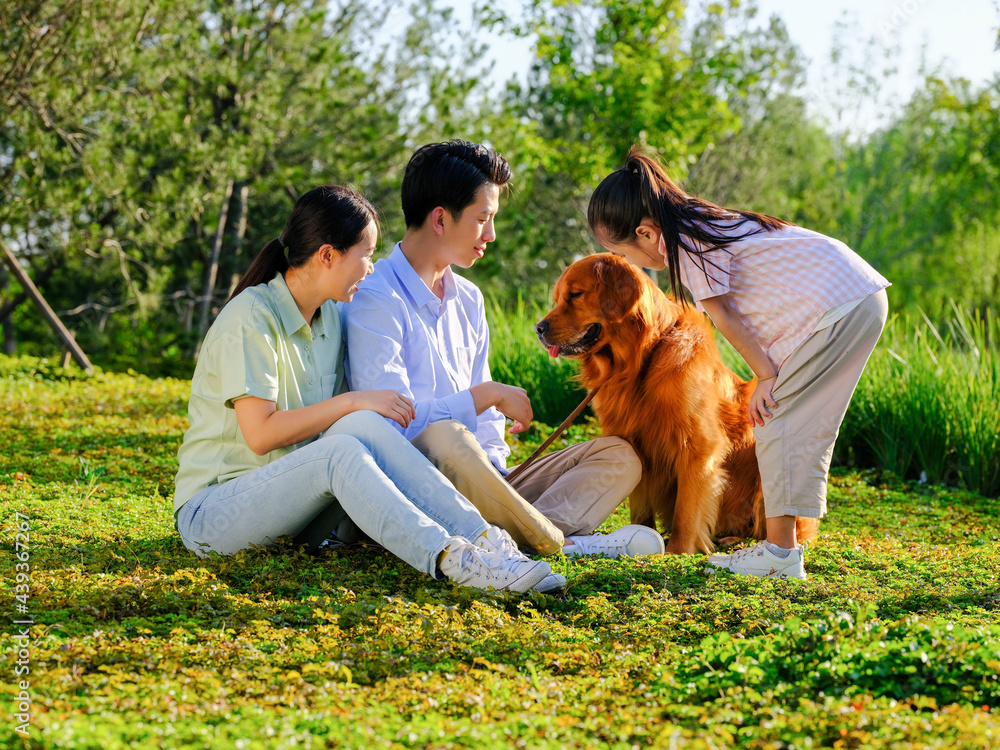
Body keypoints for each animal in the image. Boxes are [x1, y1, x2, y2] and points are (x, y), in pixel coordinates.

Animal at [536, 256, 816, 556]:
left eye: (575, 294)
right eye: (557, 298)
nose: (538, 329)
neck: (641, 362)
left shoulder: (698, 446)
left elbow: (686, 509)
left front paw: (678, 551)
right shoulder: (634, 444)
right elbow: (640, 506)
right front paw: (640, 534)